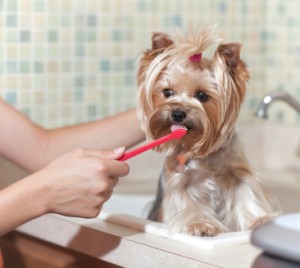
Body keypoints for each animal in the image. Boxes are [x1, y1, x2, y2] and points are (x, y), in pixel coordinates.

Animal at [136, 26, 278, 237]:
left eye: (202, 95)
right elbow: (187, 204)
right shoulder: (178, 181)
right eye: (167, 92)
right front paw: (200, 224)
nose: (178, 113)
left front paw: (261, 220)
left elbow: (247, 195)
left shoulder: (239, 173)